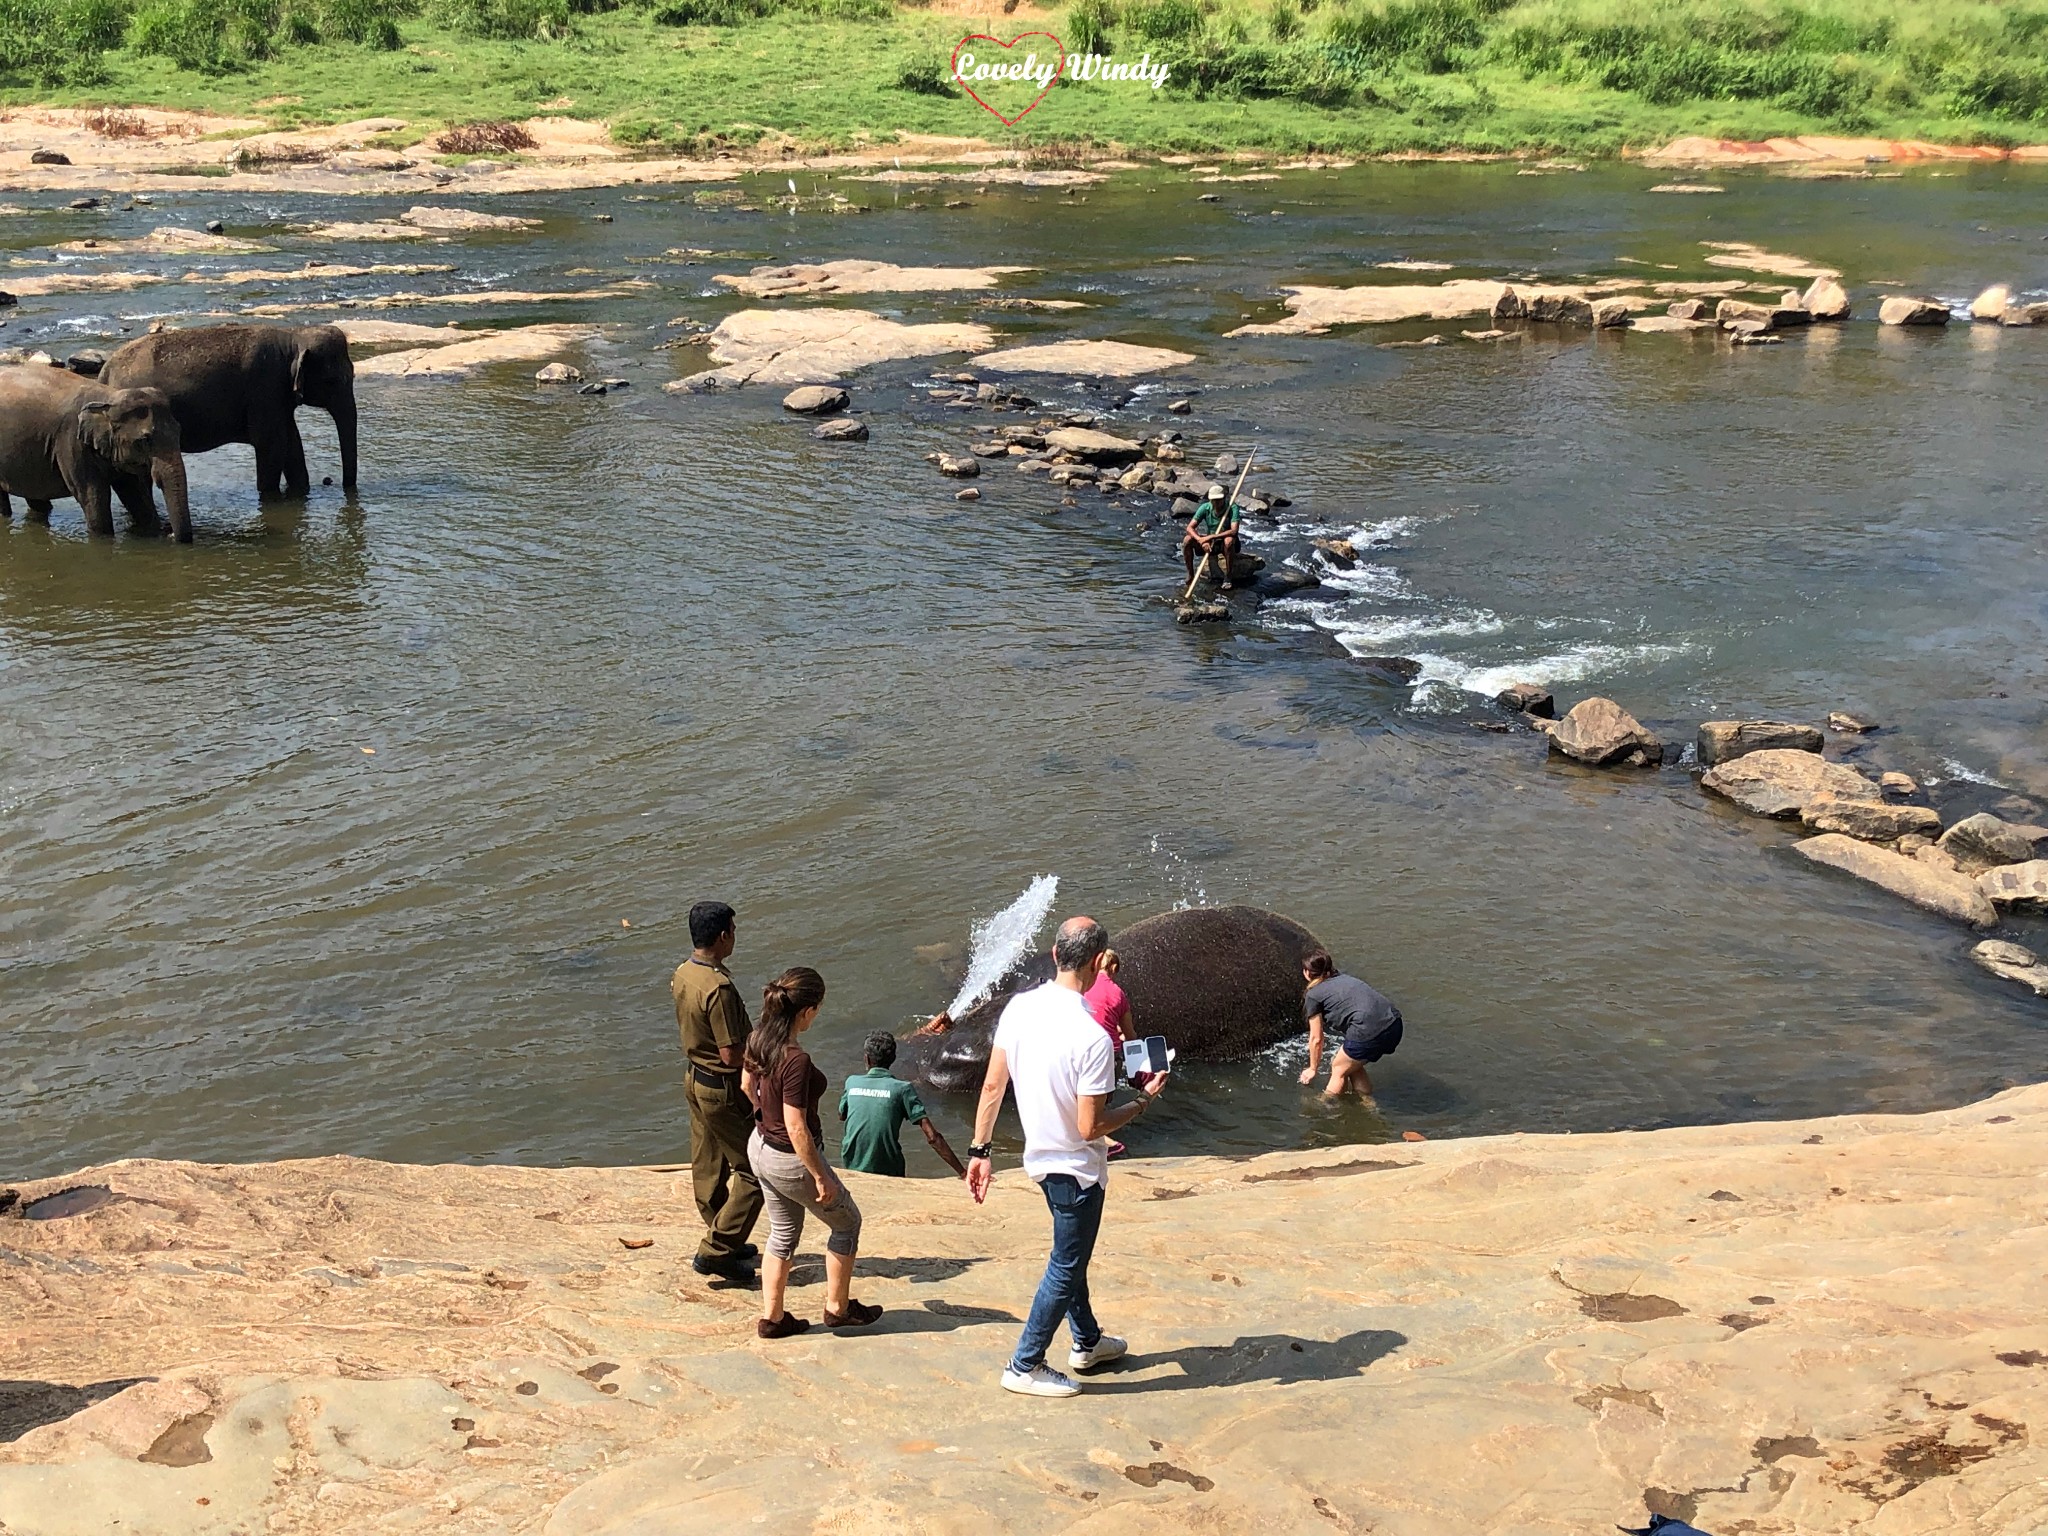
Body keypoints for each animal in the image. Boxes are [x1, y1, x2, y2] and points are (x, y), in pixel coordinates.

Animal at [0, 366, 192, 540]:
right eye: (145, 440)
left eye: (179, 431)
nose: (169, 531)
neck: (108, 398)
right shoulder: (71, 442)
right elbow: (92, 496)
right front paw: (103, 539)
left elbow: (134, 493)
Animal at [103, 323, 358, 501]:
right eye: (331, 381)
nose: (334, 482)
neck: (294, 335)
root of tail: (106, 370)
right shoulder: (265, 387)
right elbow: (271, 445)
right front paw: (271, 497)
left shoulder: (279, 398)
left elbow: (292, 444)